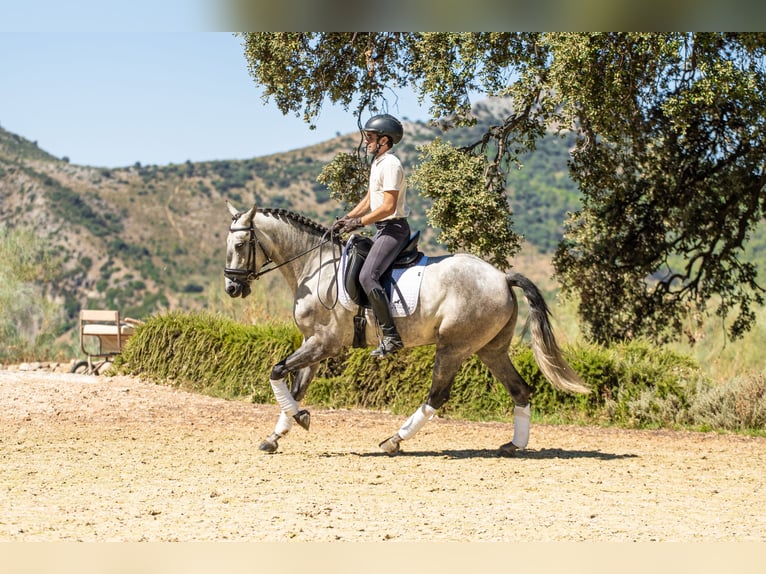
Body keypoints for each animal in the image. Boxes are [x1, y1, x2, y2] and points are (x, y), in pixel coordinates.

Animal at [225, 204, 592, 460]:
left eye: (241, 244)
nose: (231, 287)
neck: (316, 268)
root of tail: (502, 277)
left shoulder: (324, 344)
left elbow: (276, 371)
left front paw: (298, 418)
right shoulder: (312, 344)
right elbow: (295, 387)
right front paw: (279, 433)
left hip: (453, 347)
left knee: (437, 396)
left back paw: (394, 441)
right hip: (491, 349)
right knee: (519, 390)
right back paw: (514, 445)